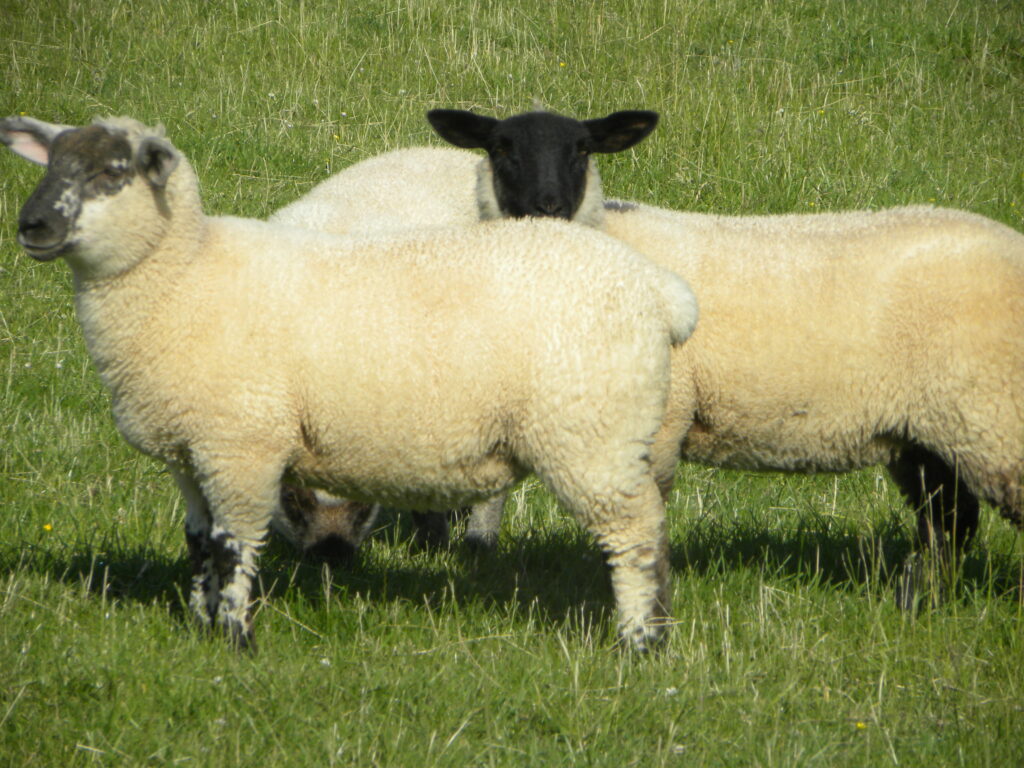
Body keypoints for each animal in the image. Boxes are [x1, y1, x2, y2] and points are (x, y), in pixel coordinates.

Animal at [0, 114, 700, 651]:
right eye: (51, 163)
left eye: (111, 172)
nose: (32, 226)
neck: (181, 277)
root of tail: (661, 291)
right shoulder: (190, 452)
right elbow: (199, 543)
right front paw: (201, 627)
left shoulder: (240, 446)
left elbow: (233, 545)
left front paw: (235, 639)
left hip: (593, 438)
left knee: (637, 537)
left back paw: (640, 642)